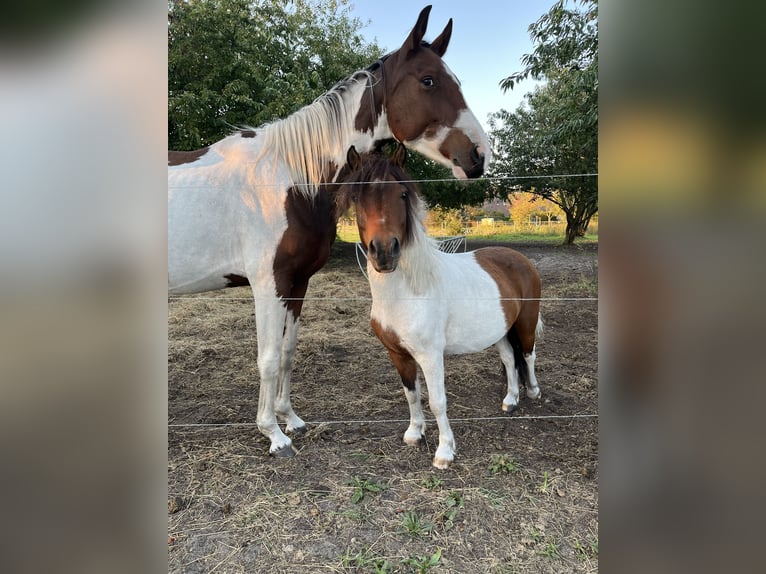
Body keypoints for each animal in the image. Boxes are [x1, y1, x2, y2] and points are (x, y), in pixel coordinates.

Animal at [168, 5, 492, 460]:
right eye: (428, 80)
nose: (479, 155)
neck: (287, 179)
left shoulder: (296, 282)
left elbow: (288, 352)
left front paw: (290, 419)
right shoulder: (267, 284)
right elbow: (268, 357)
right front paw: (273, 434)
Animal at [340, 146, 544, 470]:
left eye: (402, 194)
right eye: (358, 197)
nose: (384, 252)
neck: (408, 291)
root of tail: (520, 259)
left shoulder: (430, 355)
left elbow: (437, 401)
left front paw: (445, 452)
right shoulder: (398, 354)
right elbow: (411, 394)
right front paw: (414, 434)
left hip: (525, 323)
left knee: (528, 355)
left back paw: (533, 392)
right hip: (499, 331)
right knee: (510, 360)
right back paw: (510, 400)